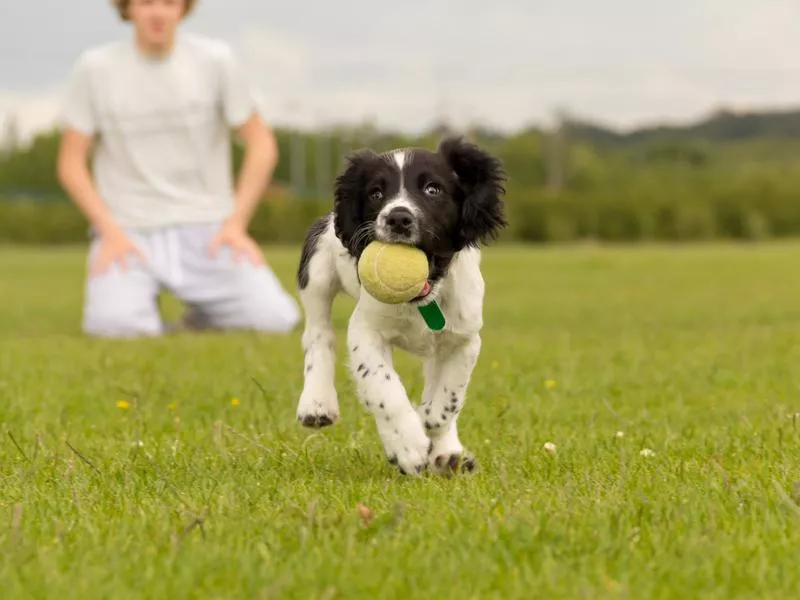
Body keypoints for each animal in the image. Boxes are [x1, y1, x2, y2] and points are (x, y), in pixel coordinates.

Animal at [294, 137, 506, 478]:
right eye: (376, 193)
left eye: (433, 189)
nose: (397, 218)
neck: (424, 301)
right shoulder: (366, 330)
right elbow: (384, 387)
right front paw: (408, 447)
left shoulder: (464, 338)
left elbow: (448, 398)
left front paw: (432, 429)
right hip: (316, 272)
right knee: (318, 334)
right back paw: (316, 403)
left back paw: (448, 453)